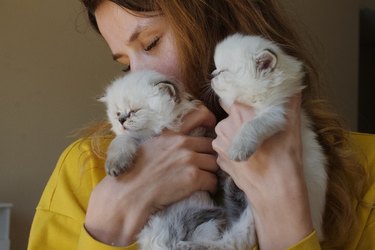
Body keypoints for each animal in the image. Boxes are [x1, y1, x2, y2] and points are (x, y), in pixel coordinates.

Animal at [100, 70, 226, 250]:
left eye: (134, 111)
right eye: (117, 113)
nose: (121, 120)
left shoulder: (205, 134)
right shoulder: (130, 138)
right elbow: (121, 141)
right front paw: (116, 164)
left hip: (207, 224)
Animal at [212, 33, 328, 248]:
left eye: (223, 71)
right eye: (216, 68)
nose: (212, 74)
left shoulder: (277, 114)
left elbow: (251, 125)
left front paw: (238, 148)